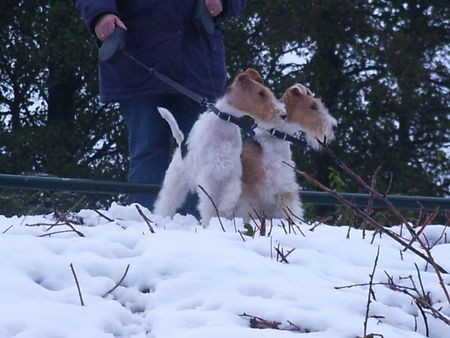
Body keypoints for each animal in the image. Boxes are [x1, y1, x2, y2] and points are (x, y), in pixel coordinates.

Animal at [153, 68, 284, 226]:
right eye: (261, 93)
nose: (283, 114)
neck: (226, 121)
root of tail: (181, 143)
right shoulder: (207, 174)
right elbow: (209, 204)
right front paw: (212, 219)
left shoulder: (233, 171)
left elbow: (233, 194)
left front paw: (224, 209)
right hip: (175, 181)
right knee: (166, 201)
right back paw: (160, 217)